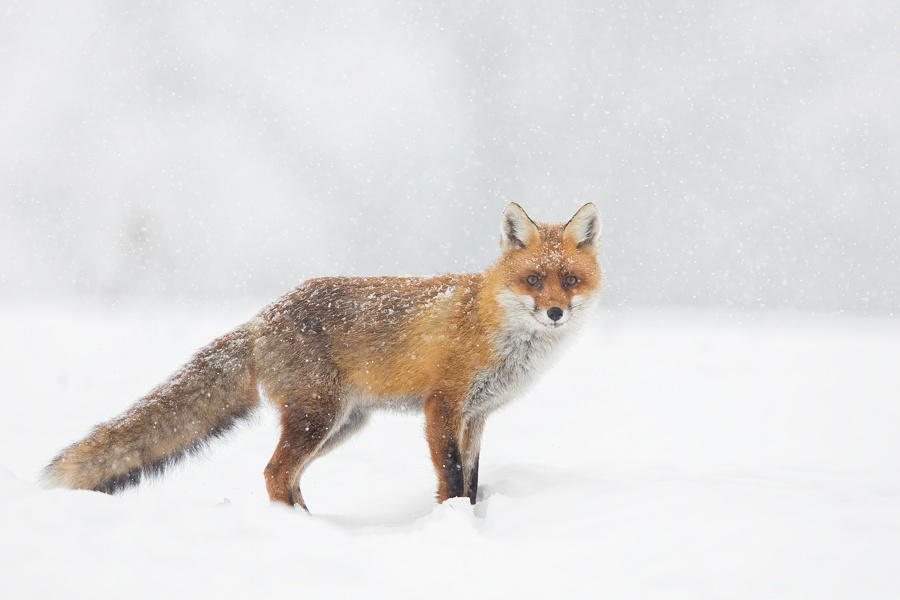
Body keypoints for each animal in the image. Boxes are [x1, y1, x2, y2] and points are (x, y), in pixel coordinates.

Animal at [44, 204, 604, 508]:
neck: (495, 329)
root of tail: (263, 317)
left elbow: (472, 478)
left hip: (340, 425)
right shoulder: (441, 406)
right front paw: (454, 525)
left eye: (569, 279)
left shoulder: (478, 415)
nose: (555, 312)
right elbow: (450, 478)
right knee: (274, 474)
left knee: (288, 477)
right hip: (318, 417)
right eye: (533, 279)